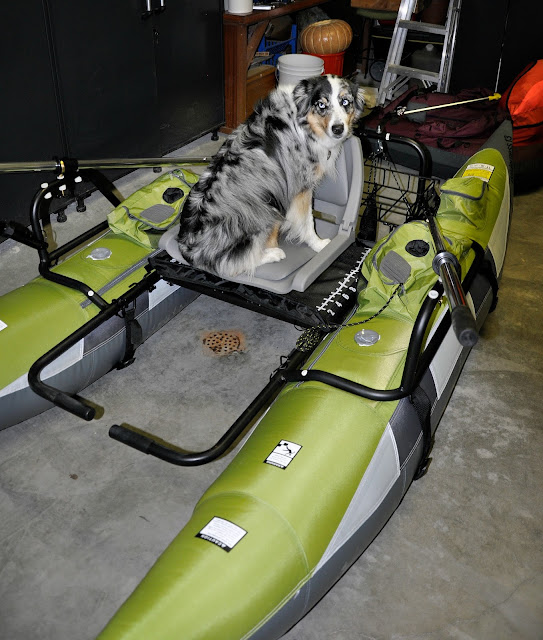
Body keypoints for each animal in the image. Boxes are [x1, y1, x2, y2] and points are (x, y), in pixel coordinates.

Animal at [176, 75, 367, 279]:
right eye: (321, 105)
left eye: (345, 102)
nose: (338, 129)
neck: (303, 121)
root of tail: (189, 250)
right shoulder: (301, 188)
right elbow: (307, 221)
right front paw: (318, 244)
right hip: (261, 210)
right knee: (236, 263)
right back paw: (273, 254)